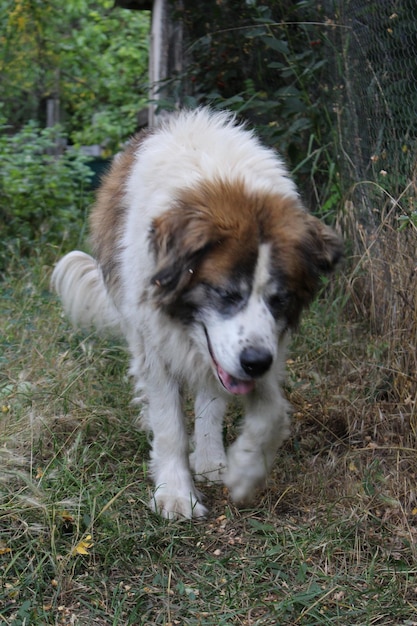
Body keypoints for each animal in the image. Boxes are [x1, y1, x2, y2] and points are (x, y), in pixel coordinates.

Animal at [51, 107, 342, 516]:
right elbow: (169, 425)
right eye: (225, 293)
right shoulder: (157, 341)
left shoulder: (260, 348)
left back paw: (209, 459)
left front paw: (241, 469)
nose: (255, 363)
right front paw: (175, 493)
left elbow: (267, 411)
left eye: (279, 299)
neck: (223, 181)